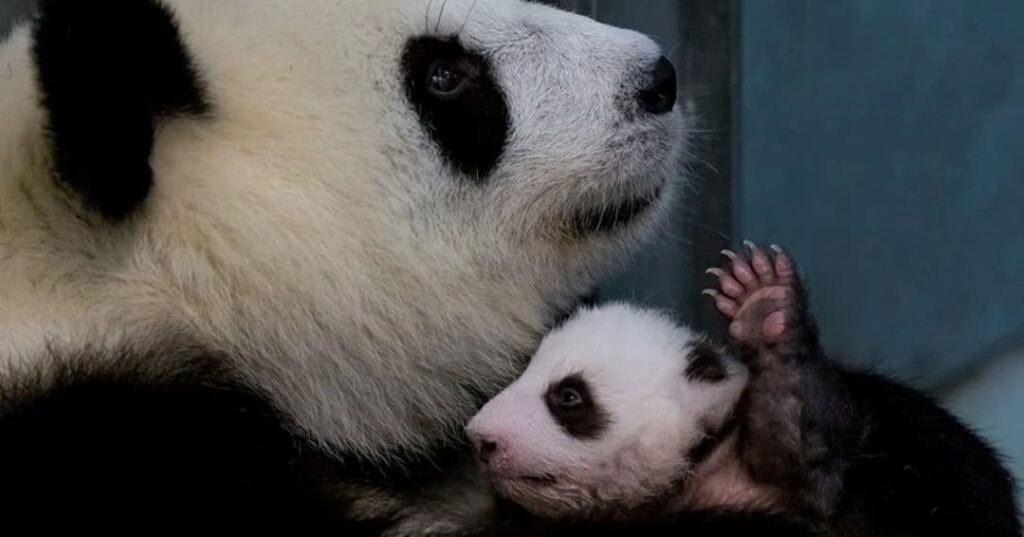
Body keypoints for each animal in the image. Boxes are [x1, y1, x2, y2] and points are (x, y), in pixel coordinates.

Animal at [467, 244, 1021, 536]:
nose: (480, 438)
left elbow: (803, 441)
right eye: (523, 371)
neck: (701, 462)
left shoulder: (846, 475)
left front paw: (765, 308)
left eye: (568, 397)